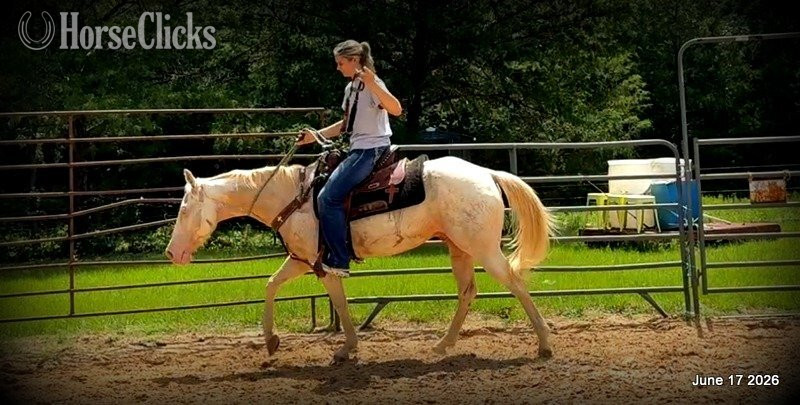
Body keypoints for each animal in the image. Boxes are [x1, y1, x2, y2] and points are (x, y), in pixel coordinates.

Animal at [165, 155, 555, 363]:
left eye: (184, 208)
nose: (171, 253)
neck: (294, 197)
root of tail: (486, 173)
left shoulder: (324, 265)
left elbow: (339, 301)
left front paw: (346, 349)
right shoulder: (302, 260)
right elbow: (271, 285)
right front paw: (271, 340)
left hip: (484, 250)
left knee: (516, 284)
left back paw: (544, 345)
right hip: (459, 249)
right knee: (467, 293)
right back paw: (443, 344)